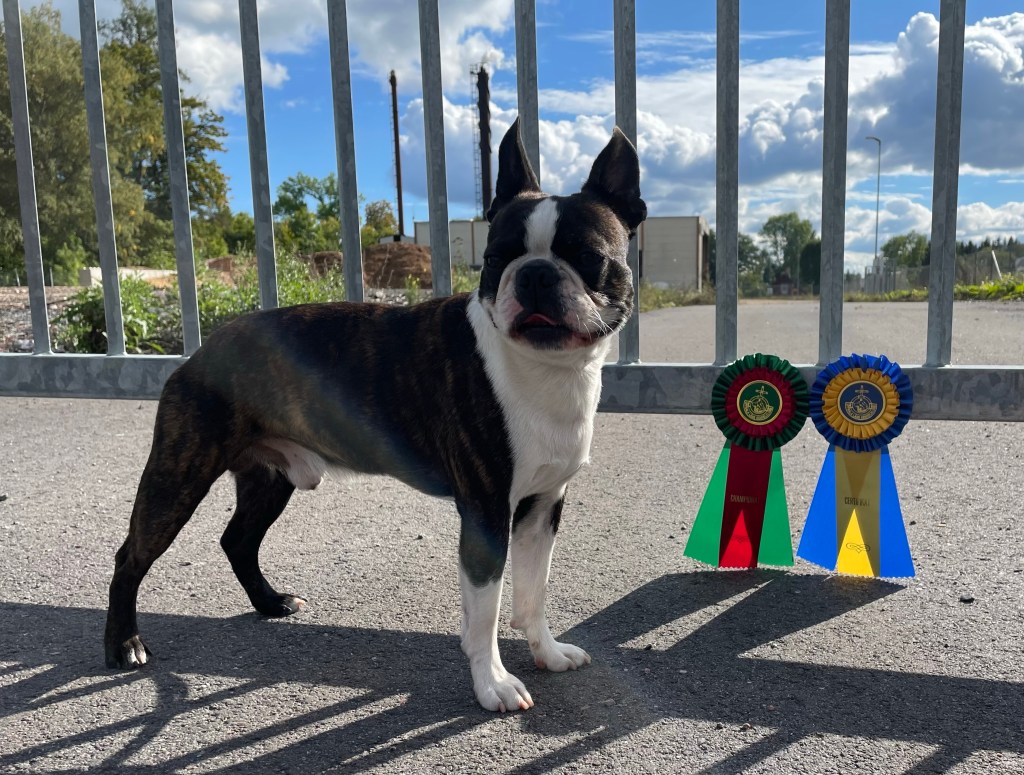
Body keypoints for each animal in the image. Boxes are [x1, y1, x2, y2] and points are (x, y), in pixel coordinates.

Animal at [104, 119, 646, 712]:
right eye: (497, 258)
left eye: (588, 257)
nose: (535, 275)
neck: (545, 368)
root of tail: (203, 349)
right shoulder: (486, 513)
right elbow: (485, 611)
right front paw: (493, 683)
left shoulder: (542, 506)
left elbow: (533, 591)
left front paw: (547, 653)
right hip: (179, 475)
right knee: (130, 556)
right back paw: (124, 644)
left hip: (269, 478)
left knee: (238, 540)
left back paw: (270, 602)